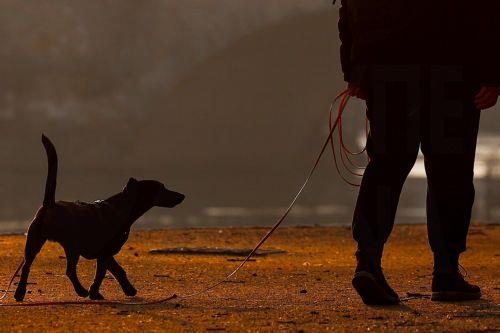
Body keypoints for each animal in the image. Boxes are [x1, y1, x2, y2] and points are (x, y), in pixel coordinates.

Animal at [13, 135, 186, 300]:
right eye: (162, 188)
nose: (182, 196)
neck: (123, 209)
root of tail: (50, 204)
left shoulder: (107, 253)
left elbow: (118, 270)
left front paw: (128, 289)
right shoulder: (104, 252)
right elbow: (101, 274)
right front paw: (94, 292)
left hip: (39, 242)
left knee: (28, 266)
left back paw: (20, 293)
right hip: (66, 247)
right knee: (67, 270)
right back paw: (80, 291)